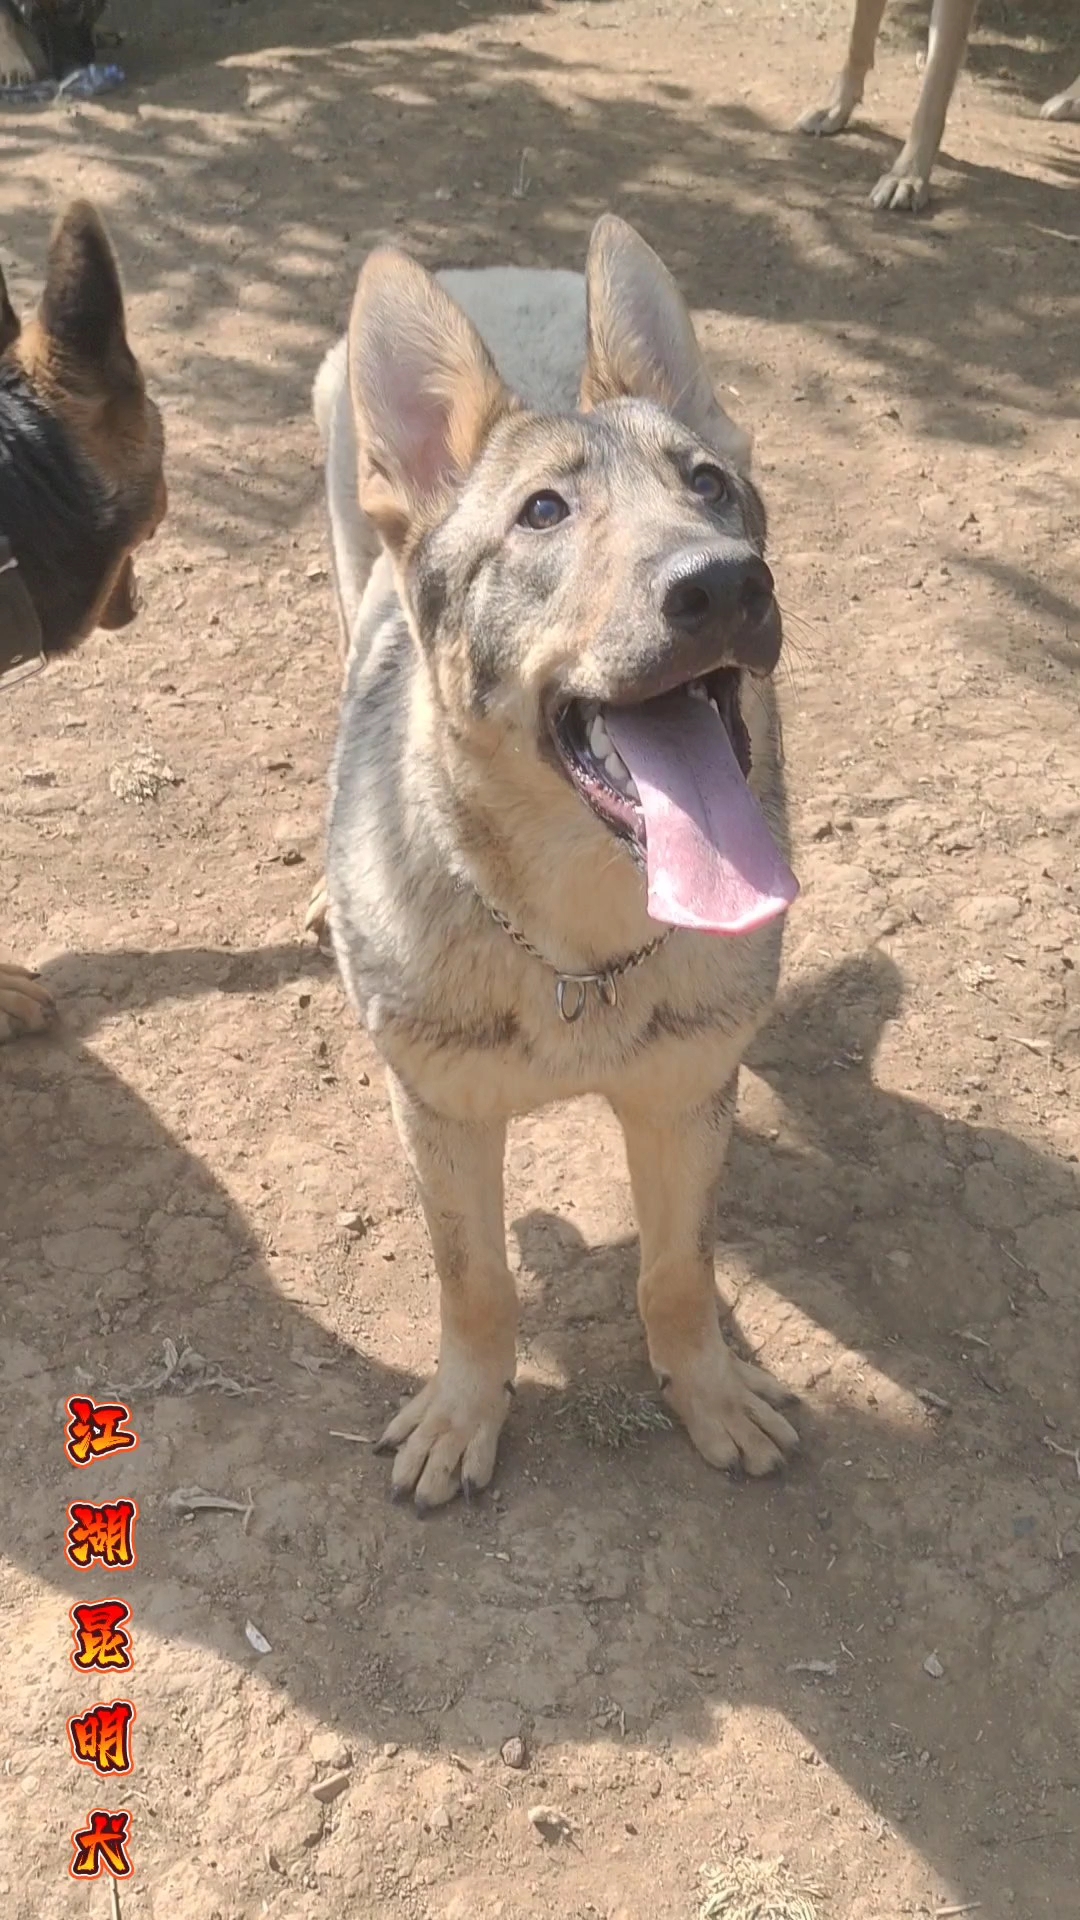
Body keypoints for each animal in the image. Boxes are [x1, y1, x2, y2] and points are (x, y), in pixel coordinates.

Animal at [315, 214, 803, 1512]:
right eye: (542, 513)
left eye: (708, 485)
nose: (723, 581)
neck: (579, 945)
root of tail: (495, 271)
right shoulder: (438, 1116)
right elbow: (473, 1283)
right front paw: (466, 1411)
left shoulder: (685, 1100)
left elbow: (678, 1272)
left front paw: (706, 1390)